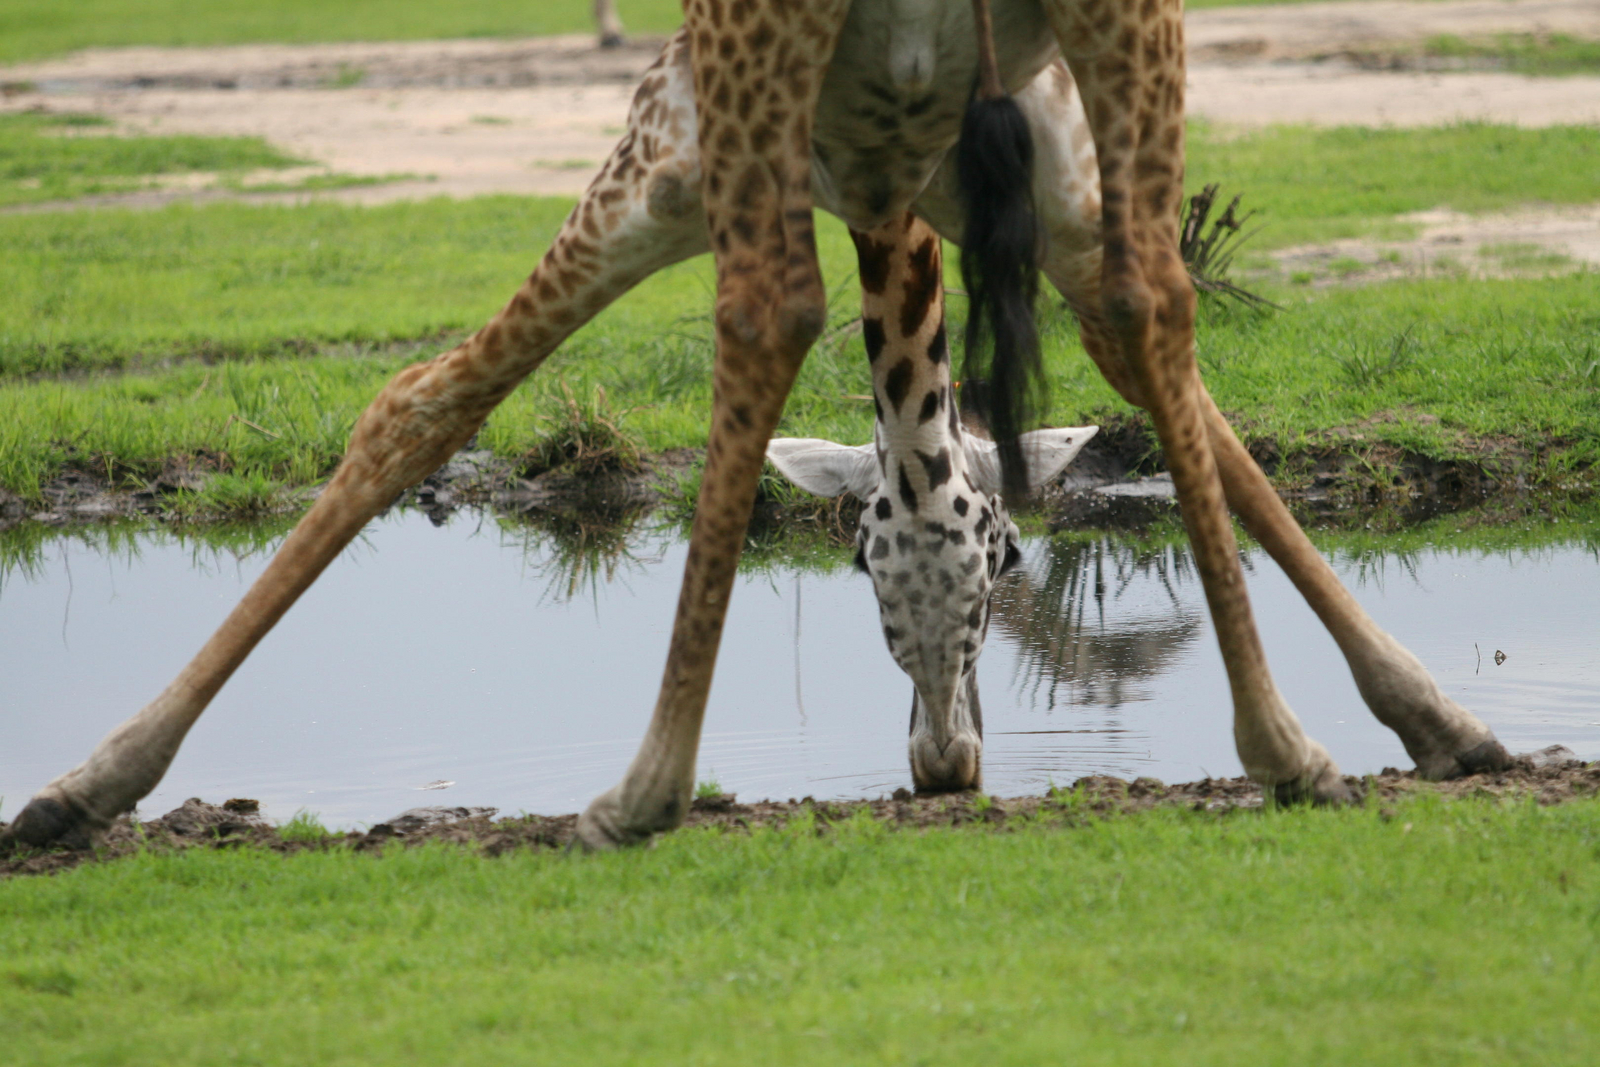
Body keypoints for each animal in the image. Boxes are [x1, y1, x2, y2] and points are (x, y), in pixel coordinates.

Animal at [4, 0, 1512, 854]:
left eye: (1006, 561)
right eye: (859, 565)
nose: (946, 768)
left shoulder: (1024, 183)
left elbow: (1183, 398)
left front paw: (1429, 715)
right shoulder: (672, 161)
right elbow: (418, 403)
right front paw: (90, 783)